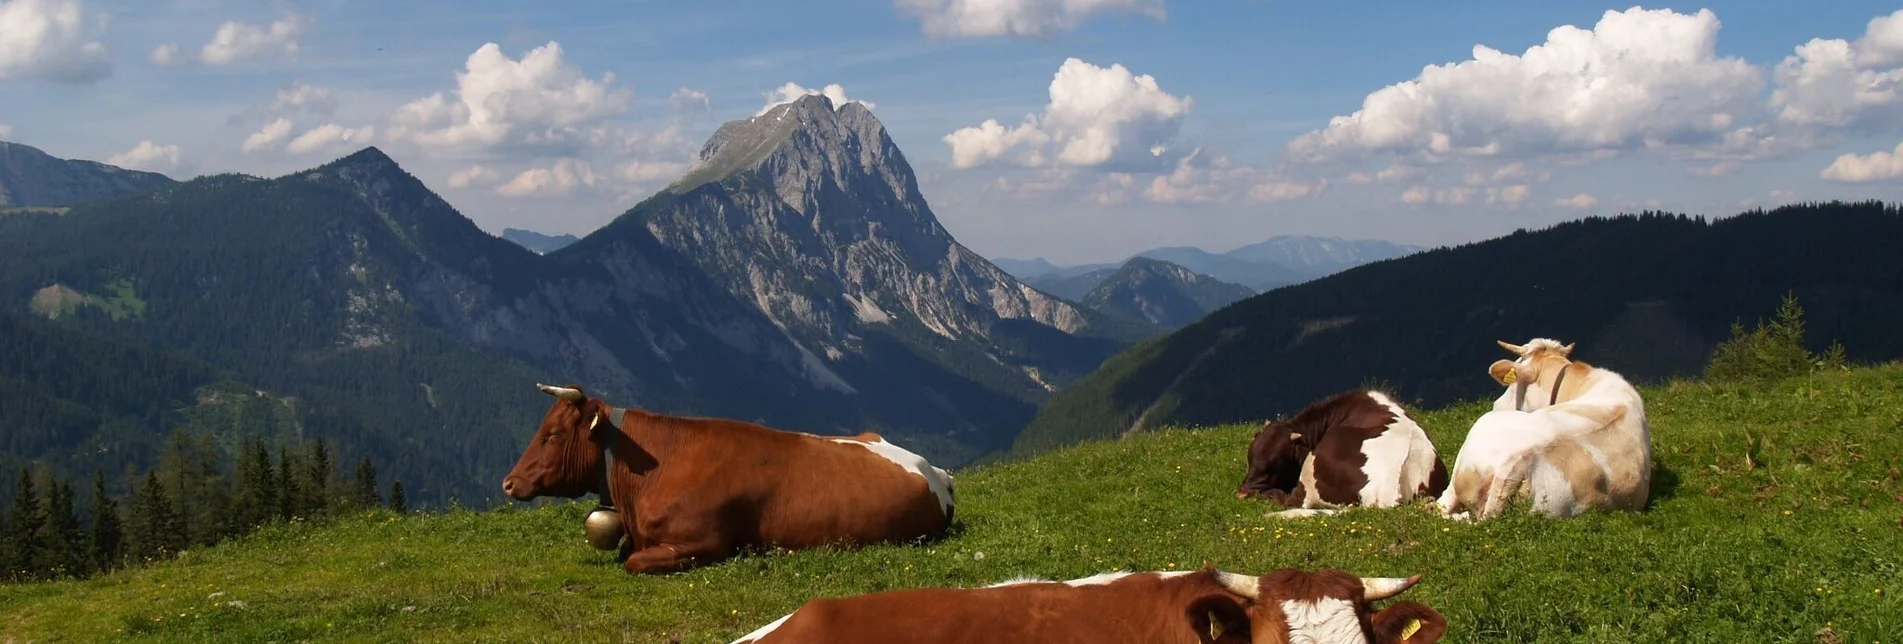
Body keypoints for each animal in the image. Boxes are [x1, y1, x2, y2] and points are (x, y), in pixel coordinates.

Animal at [502, 382, 959, 575]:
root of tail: (932, 468)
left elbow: (632, 561)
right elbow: (626, 552)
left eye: (552, 434)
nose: (509, 482)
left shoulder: (701, 542)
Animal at [1240, 386, 1446, 518]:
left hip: (1312, 472)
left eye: (1277, 464)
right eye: (1250, 457)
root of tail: (1388, 492)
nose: (1242, 493)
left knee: (1292, 500)